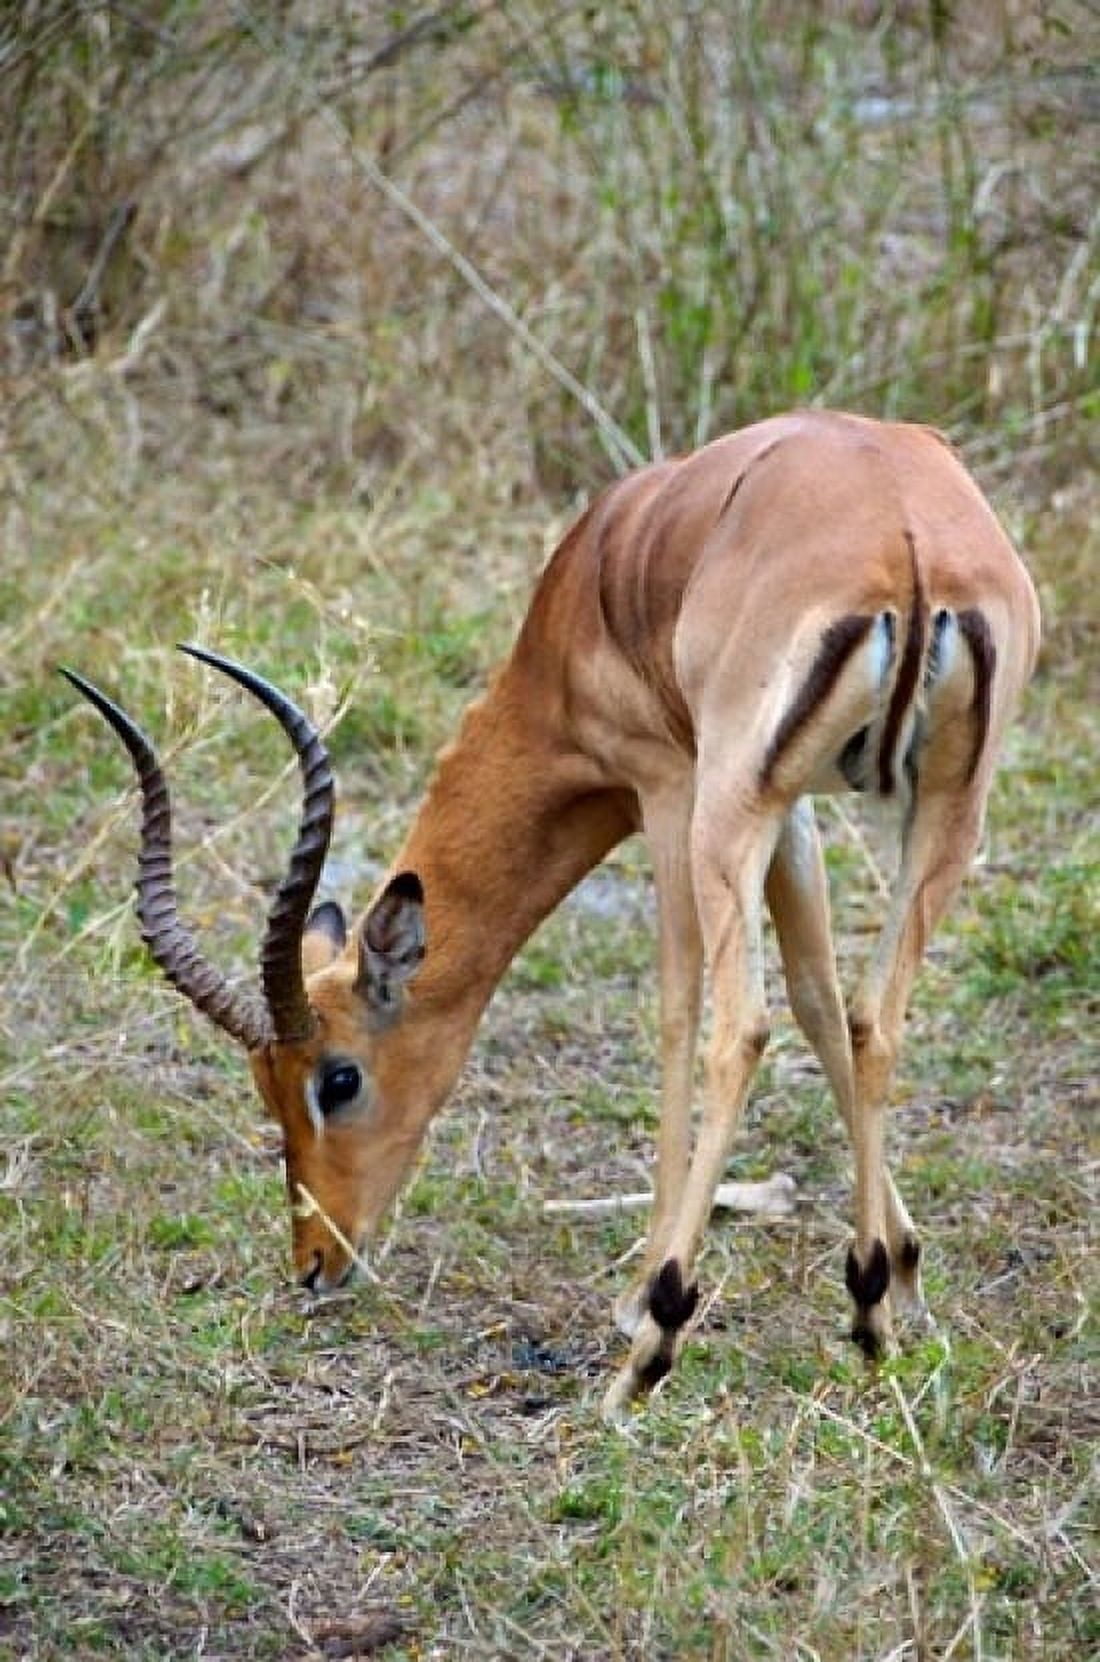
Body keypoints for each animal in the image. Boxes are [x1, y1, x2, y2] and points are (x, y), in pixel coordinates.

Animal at [64, 409, 1040, 1417]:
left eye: (337, 1079)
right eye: (266, 1090)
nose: (315, 1262)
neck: (598, 578)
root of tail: (904, 539)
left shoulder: (670, 785)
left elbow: (678, 1018)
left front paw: (638, 1298)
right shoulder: (795, 808)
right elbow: (820, 998)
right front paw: (897, 1274)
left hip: (732, 812)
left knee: (736, 1028)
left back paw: (652, 1345)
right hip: (946, 807)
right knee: (872, 1019)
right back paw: (870, 1316)